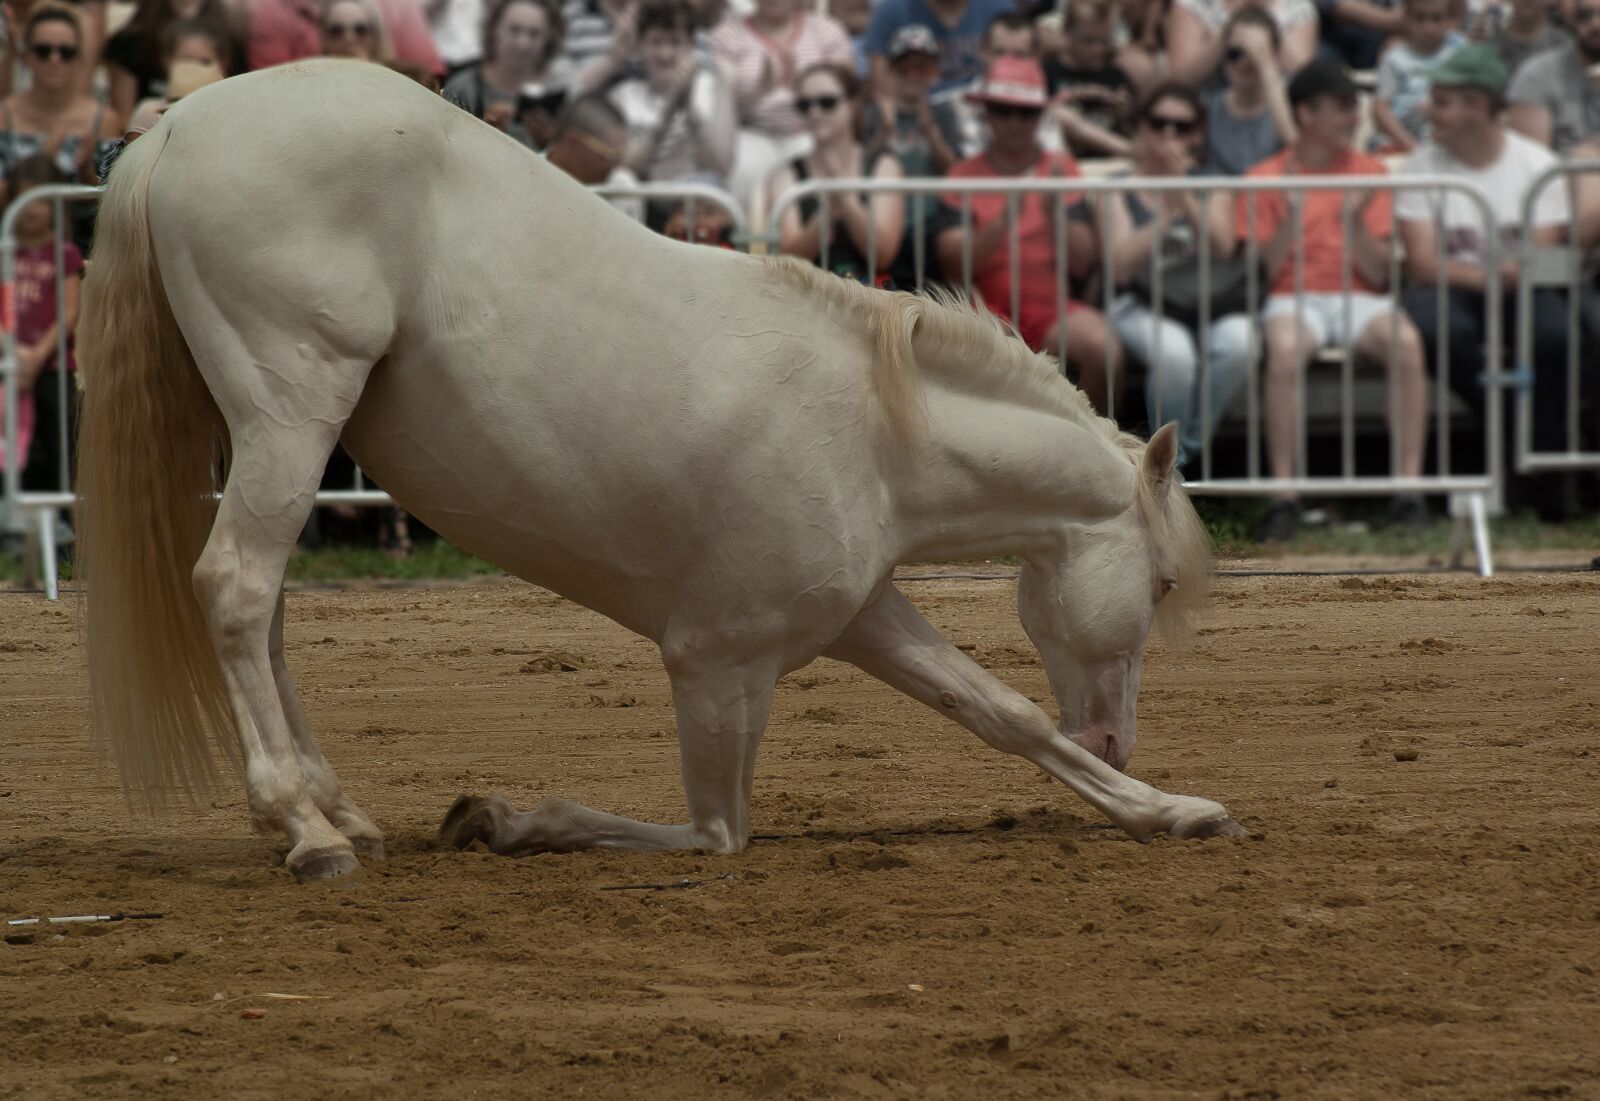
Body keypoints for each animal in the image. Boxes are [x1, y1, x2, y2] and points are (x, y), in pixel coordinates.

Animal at [78, 62, 1248, 883]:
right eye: (1157, 585)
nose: (1117, 736)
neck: (879, 433)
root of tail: (172, 126)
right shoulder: (717, 666)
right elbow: (714, 832)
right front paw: (506, 820)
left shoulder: (860, 613)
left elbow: (997, 712)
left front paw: (1169, 810)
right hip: (291, 415)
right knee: (237, 589)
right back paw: (306, 827)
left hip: (271, 440)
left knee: (265, 608)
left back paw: (342, 814)